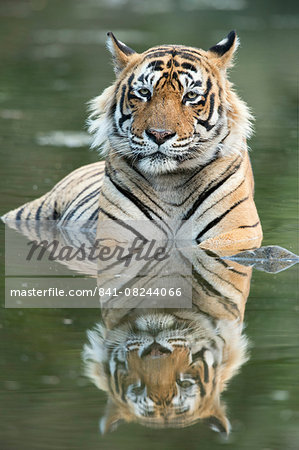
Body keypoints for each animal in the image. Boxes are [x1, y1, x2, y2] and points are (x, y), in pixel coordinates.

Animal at [2, 30, 264, 253]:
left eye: (190, 96)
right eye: (144, 92)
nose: (159, 134)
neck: (170, 183)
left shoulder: (236, 232)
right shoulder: (116, 233)